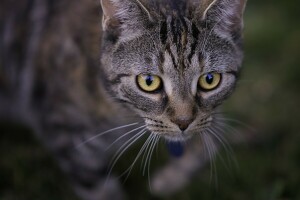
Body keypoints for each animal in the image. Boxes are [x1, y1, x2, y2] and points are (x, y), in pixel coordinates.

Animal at [0, 0, 246, 199]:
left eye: (209, 79)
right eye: (149, 81)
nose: (184, 122)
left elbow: (213, 137)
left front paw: (168, 180)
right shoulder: (65, 136)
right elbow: (100, 189)